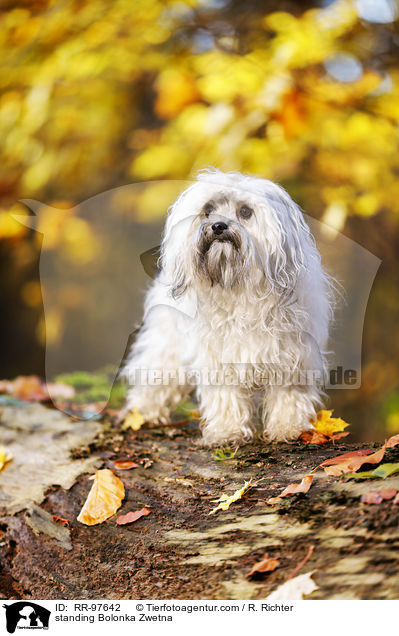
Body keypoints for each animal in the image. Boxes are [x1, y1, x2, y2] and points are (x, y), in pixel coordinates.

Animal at [122, 170, 334, 448]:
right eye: (208, 210)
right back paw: (144, 413)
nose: (218, 226)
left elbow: (289, 394)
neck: (239, 289)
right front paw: (227, 432)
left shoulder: (293, 354)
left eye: (245, 211)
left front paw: (289, 428)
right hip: (166, 346)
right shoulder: (219, 357)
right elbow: (225, 396)